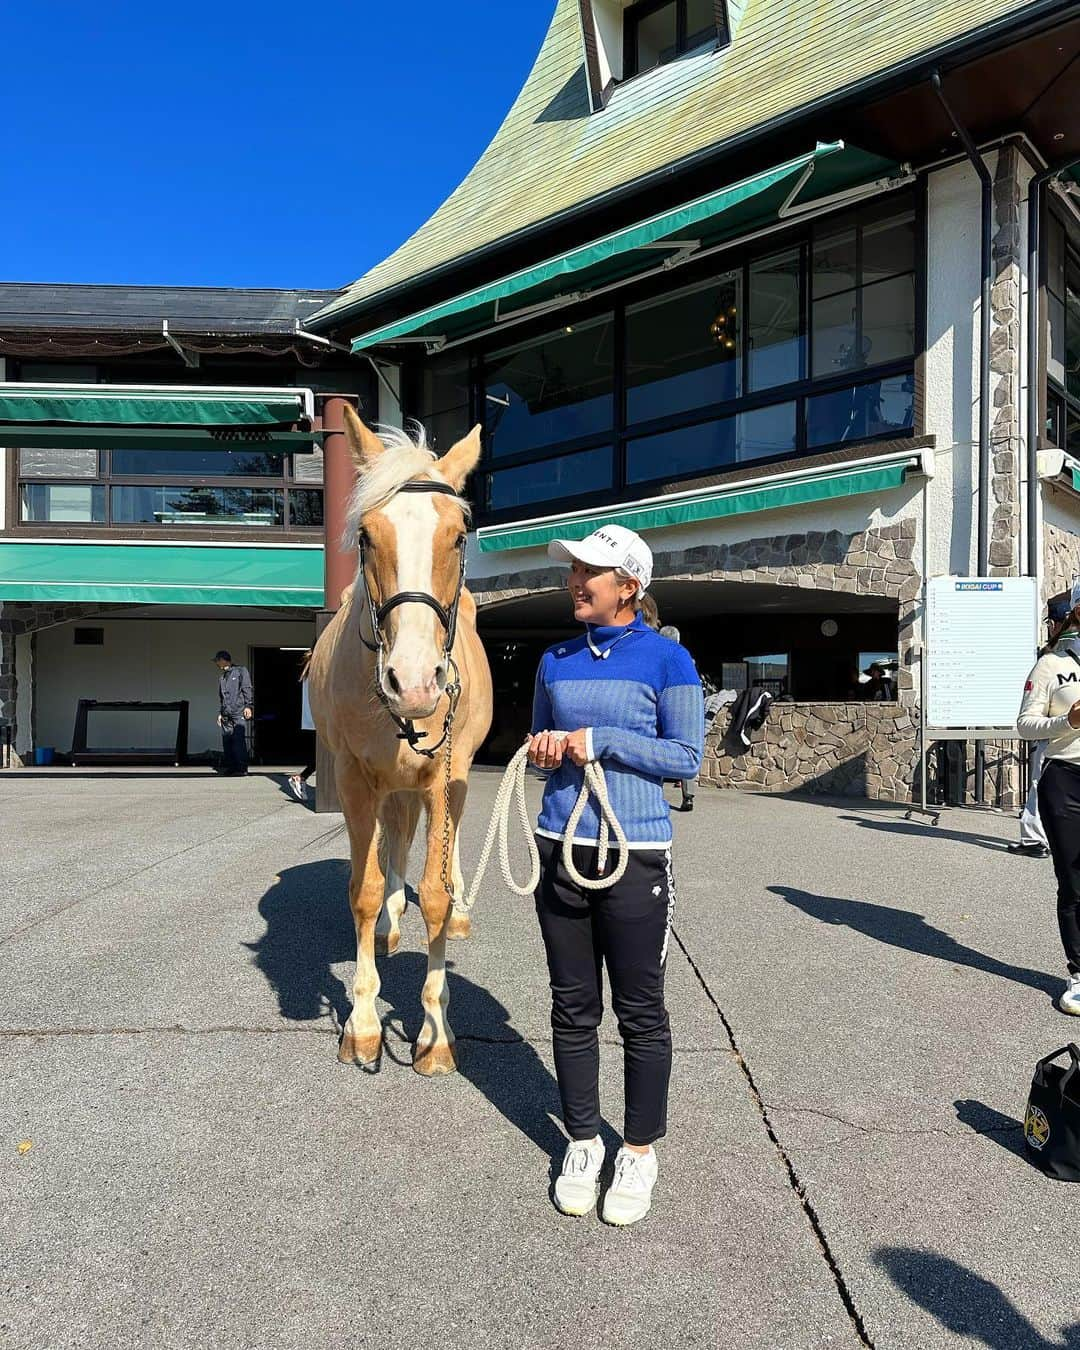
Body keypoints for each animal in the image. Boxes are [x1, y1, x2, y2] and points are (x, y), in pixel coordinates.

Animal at [307, 410, 494, 1074]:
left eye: (459, 537)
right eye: (366, 536)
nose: (413, 682)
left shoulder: (443, 776)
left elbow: (435, 895)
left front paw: (435, 1033)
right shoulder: (357, 778)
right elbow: (363, 891)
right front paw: (363, 1023)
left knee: (446, 843)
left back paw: (460, 910)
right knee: (394, 843)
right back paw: (391, 916)